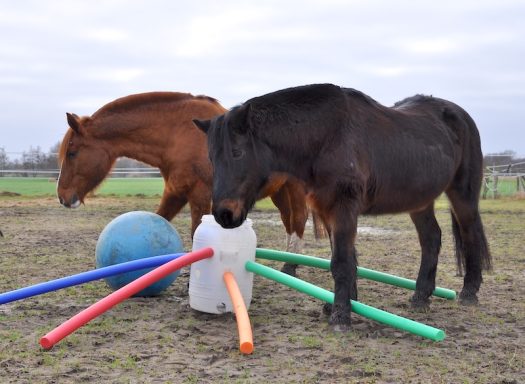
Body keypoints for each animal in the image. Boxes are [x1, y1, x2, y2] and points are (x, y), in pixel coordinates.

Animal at [56, 91, 316, 255]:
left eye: (72, 153)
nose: (62, 196)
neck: (177, 134)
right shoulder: (175, 192)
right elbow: (159, 220)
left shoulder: (200, 195)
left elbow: (196, 235)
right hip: (278, 191)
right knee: (288, 221)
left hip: (295, 189)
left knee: (298, 220)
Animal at [193, 85, 492, 332]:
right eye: (211, 157)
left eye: (237, 153)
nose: (224, 215)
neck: (327, 136)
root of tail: (460, 116)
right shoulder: (328, 210)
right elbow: (345, 258)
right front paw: (343, 304)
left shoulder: (344, 208)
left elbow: (341, 262)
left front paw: (341, 316)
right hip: (419, 202)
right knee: (431, 239)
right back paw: (421, 296)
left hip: (462, 195)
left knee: (470, 236)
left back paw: (469, 293)